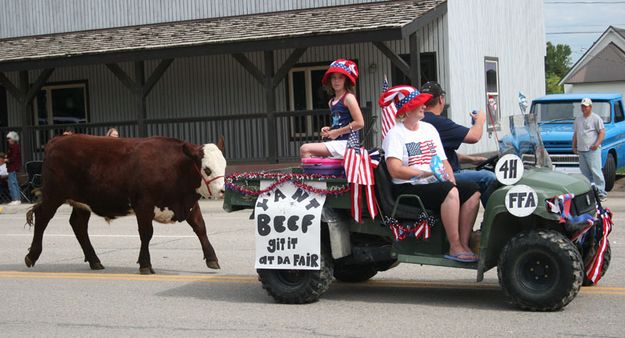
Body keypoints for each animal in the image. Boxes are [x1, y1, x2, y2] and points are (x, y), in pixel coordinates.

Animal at [26, 133, 228, 274]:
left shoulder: (189, 204)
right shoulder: (144, 205)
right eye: (207, 169)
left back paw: (95, 261)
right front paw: (145, 264)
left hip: (82, 203)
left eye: (224, 166)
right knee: (42, 218)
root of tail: (58, 140)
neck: (174, 167)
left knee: (78, 225)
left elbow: (200, 228)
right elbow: (146, 234)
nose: (222, 190)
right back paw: (32, 256)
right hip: (53, 195)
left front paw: (212, 258)